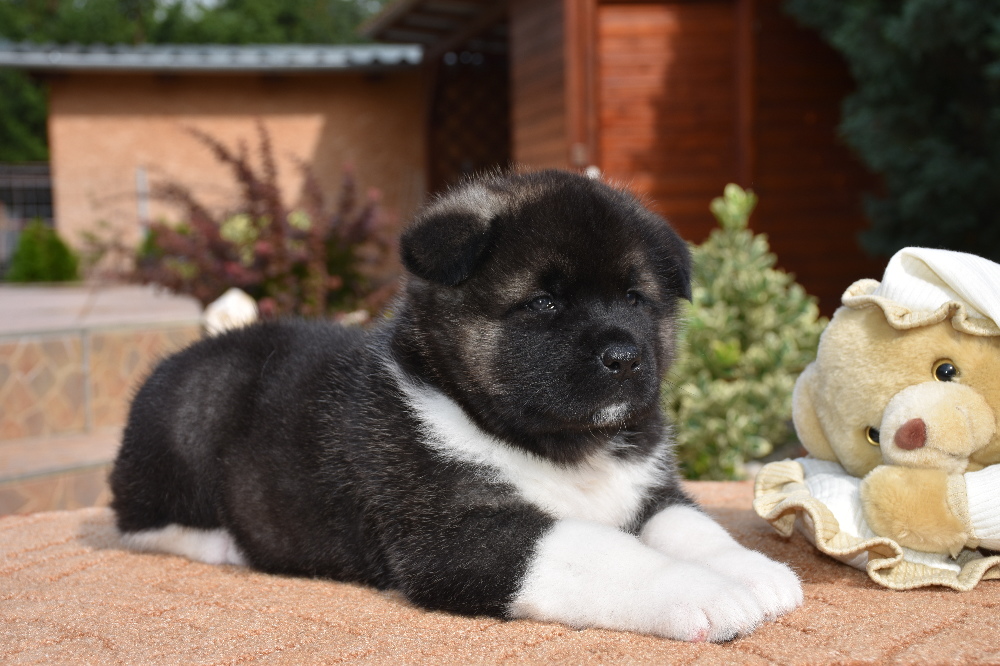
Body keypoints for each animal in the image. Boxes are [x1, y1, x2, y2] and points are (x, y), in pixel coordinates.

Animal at [110, 169, 802, 642]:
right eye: (544, 303)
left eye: (635, 298)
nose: (625, 358)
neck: (562, 445)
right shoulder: (459, 537)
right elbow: (606, 552)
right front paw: (706, 593)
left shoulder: (651, 488)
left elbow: (692, 525)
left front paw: (752, 570)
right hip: (184, 427)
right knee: (138, 521)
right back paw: (221, 545)